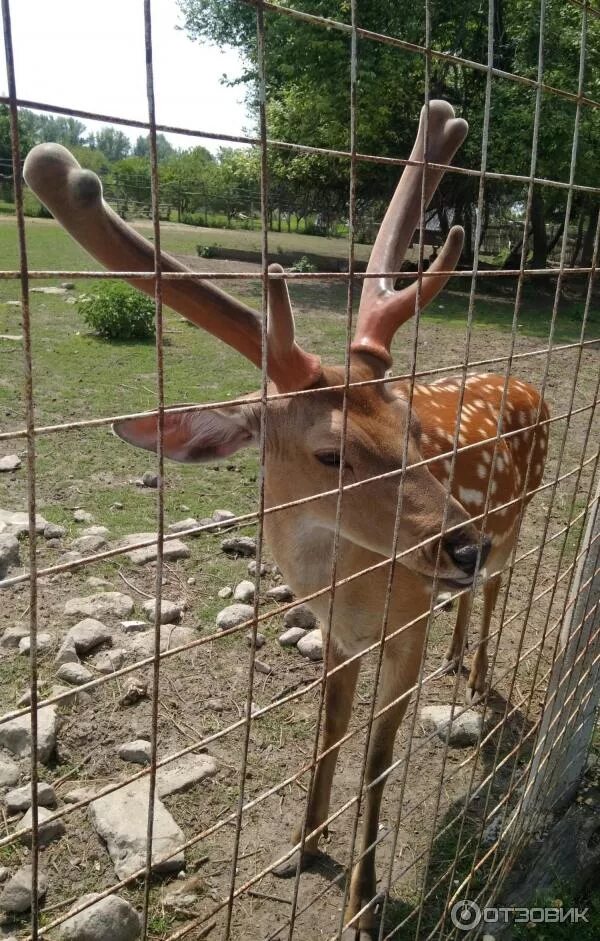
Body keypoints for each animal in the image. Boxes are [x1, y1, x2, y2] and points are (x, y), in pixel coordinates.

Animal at [23, 99, 548, 936]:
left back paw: (477, 669)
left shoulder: (404, 628)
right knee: (478, 596)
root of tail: (533, 387)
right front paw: (303, 846)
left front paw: (363, 900)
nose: (461, 544)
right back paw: (461, 649)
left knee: (501, 586)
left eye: (411, 426)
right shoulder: (338, 632)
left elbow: (378, 759)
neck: (351, 589)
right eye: (331, 452)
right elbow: (328, 733)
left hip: (522, 510)